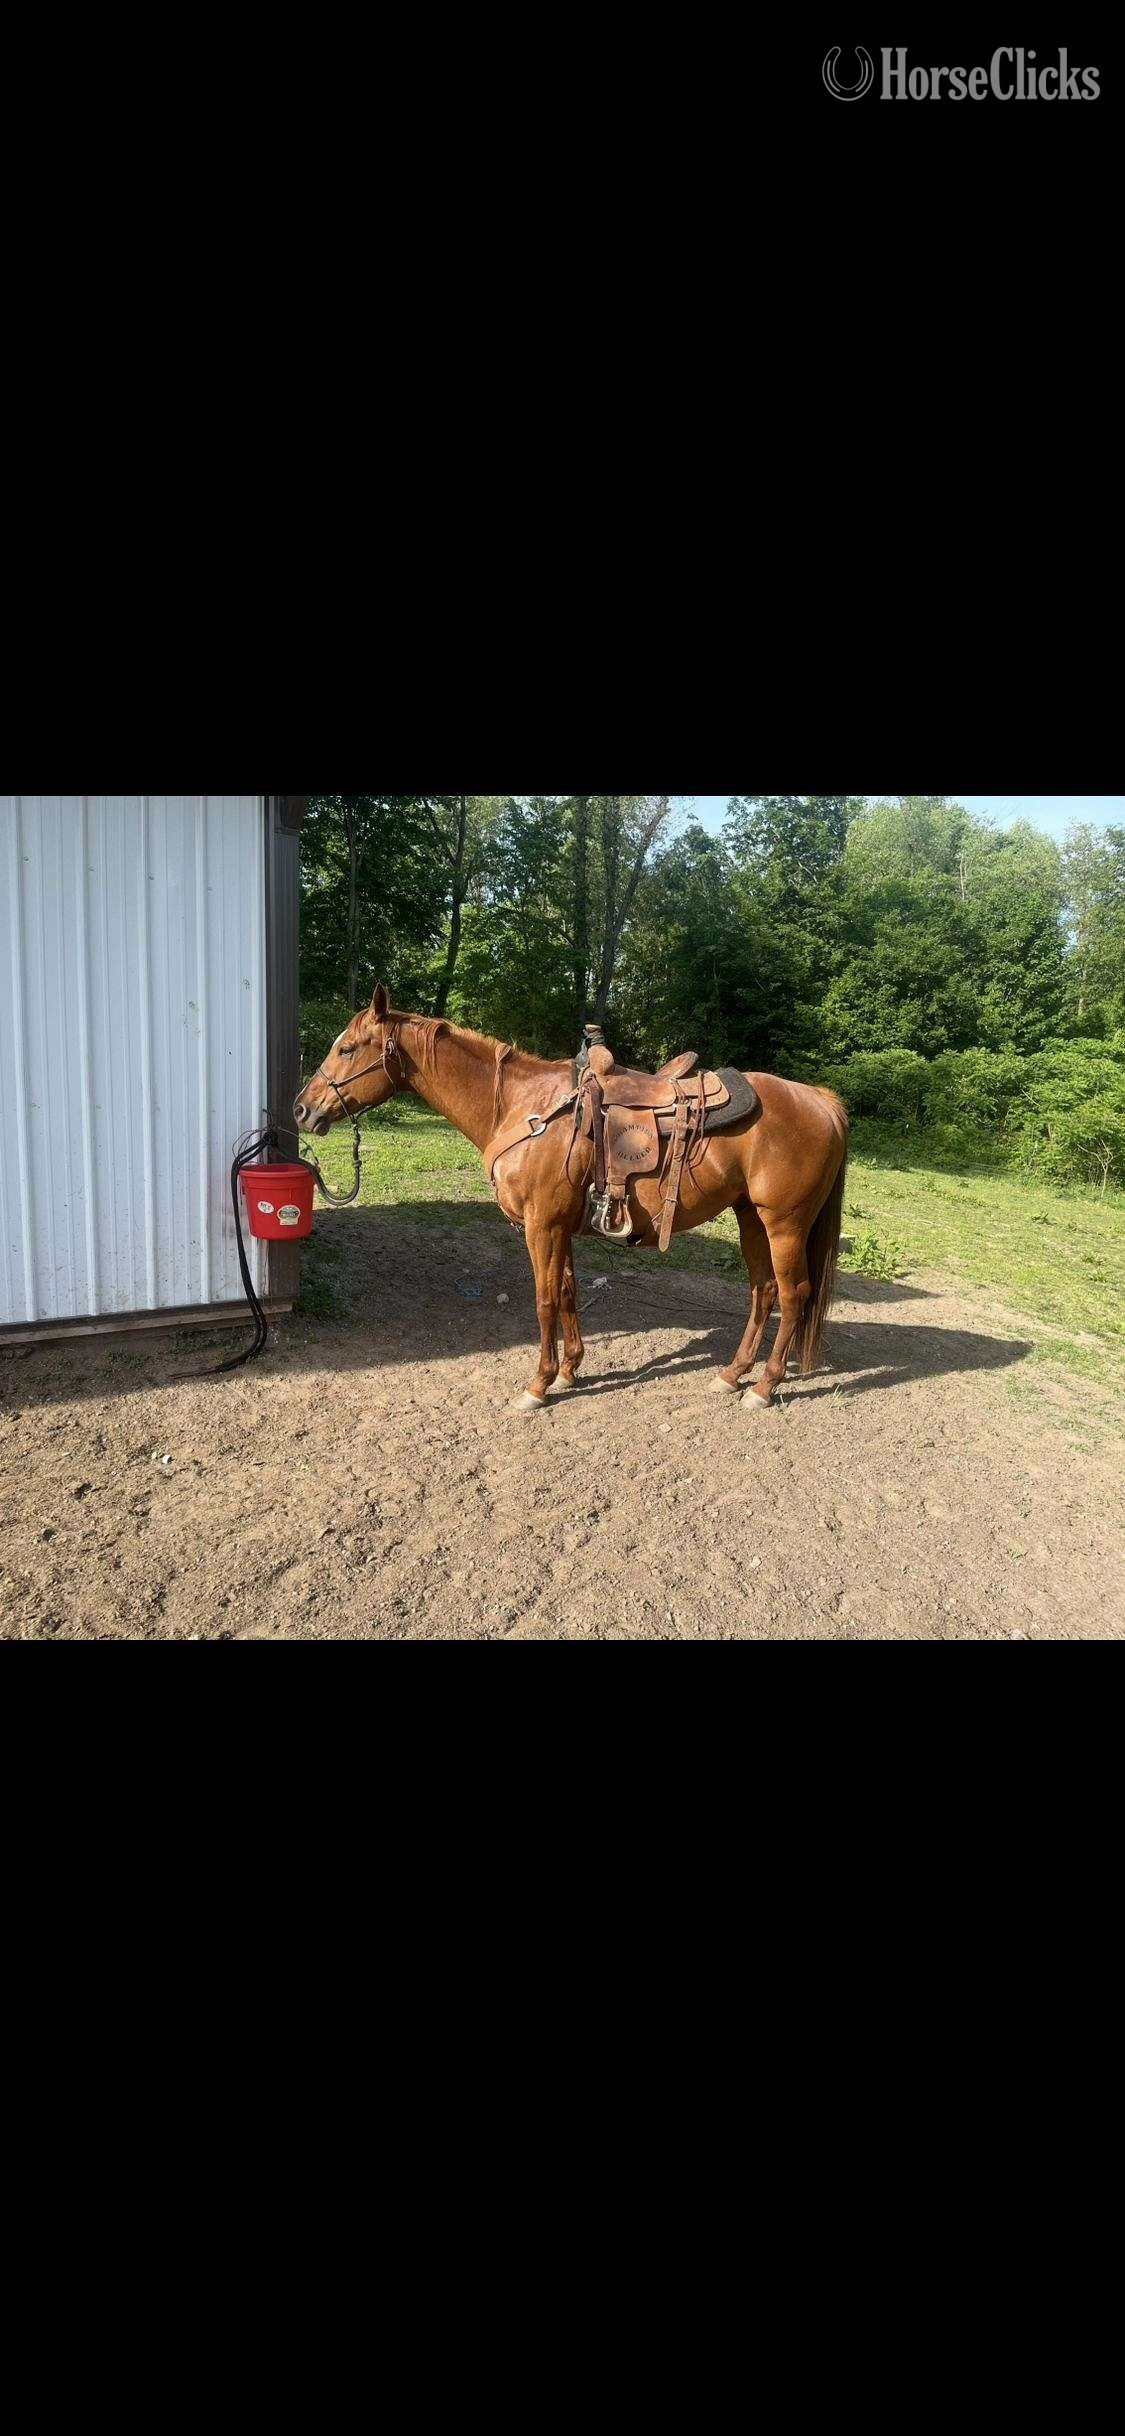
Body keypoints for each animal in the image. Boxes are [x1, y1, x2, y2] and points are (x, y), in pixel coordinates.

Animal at [294, 985, 849, 1414]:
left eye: (348, 1049)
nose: (301, 1110)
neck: (522, 1109)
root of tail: (821, 1101)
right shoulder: (558, 1226)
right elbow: (566, 1292)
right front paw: (568, 1371)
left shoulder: (541, 1225)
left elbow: (543, 1300)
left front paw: (538, 1385)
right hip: (751, 1219)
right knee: (763, 1291)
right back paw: (732, 1374)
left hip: (784, 1224)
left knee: (794, 1294)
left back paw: (764, 1386)